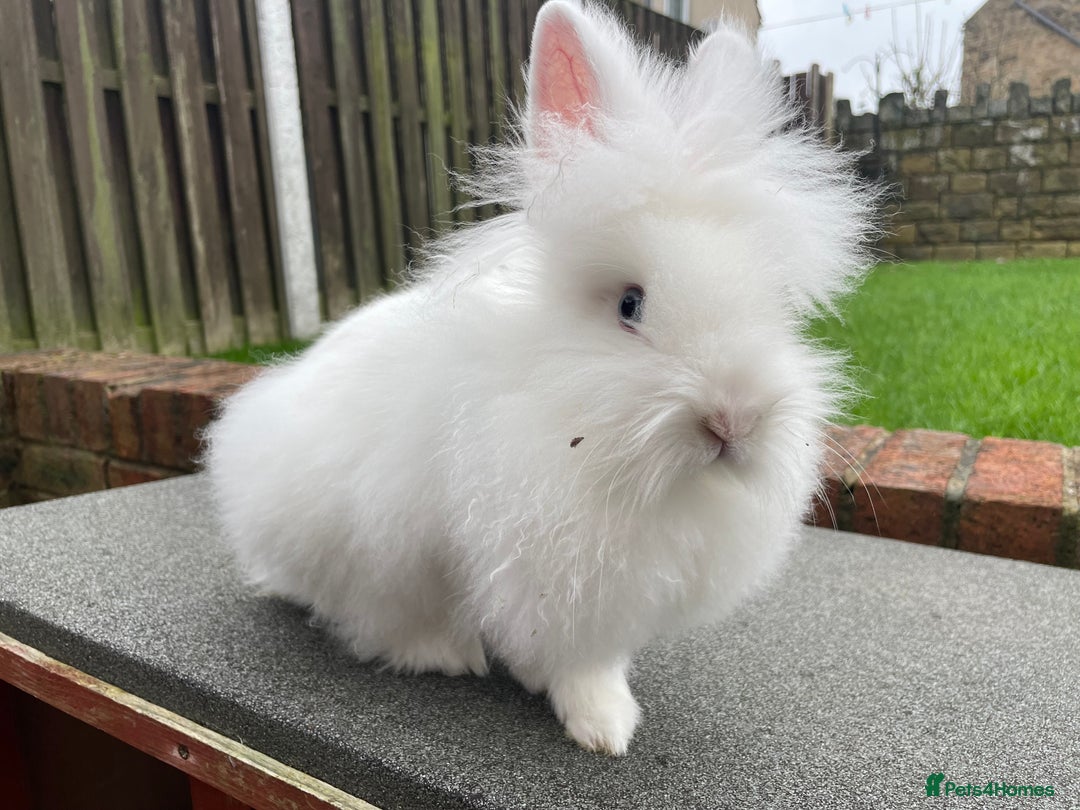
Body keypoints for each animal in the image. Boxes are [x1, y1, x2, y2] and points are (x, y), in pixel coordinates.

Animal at [205, 0, 877, 756]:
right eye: (630, 305)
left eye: (772, 305)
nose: (734, 419)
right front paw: (600, 729)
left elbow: (587, 659)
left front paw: (609, 722)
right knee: (372, 611)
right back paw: (445, 653)